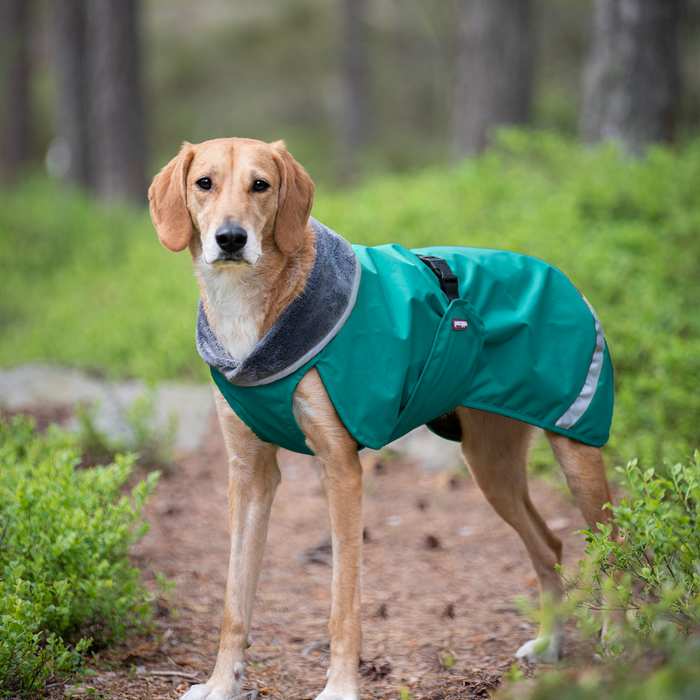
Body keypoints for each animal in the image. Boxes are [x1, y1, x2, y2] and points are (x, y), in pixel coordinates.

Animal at [148, 137, 612, 700]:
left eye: (261, 184)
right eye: (204, 183)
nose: (231, 239)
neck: (253, 313)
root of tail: (561, 276)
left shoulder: (340, 468)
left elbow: (343, 603)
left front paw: (341, 687)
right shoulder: (249, 472)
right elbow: (235, 600)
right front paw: (221, 684)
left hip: (576, 445)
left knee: (618, 547)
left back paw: (620, 641)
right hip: (492, 467)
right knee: (549, 544)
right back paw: (551, 645)